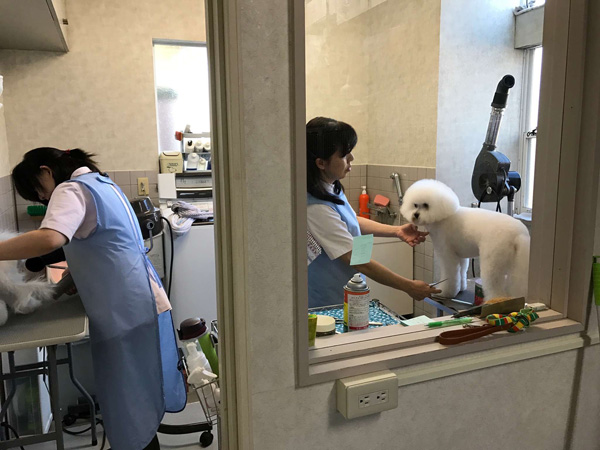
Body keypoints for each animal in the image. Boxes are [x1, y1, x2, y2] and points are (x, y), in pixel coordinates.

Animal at [400, 179, 528, 302]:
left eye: (426, 205)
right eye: (415, 205)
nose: (415, 215)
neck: (443, 217)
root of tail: (519, 233)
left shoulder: (448, 255)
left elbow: (451, 275)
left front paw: (446, 292)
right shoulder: (460, 256)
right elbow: (461, 272)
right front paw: (460, 288)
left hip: (493, 261)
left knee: (495, 287)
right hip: (513, 263)